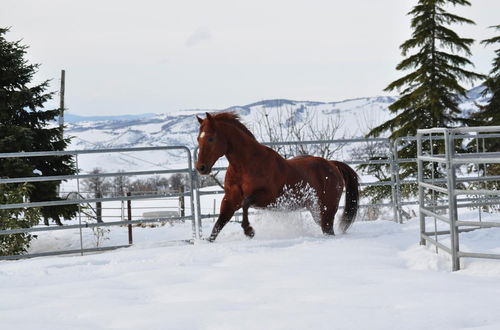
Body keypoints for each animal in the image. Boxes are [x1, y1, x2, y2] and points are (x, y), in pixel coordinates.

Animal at [195, 112, 360, 241]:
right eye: (198, 139)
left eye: (210, 138)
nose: (200, 167)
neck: (245, 166)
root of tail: (332, 164)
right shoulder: (229, 200)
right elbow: (219, 224)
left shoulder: (268, 198)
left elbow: (246, 203)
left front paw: (249, 231)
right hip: (316, 211)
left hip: (327, 210)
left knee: (328, 230)